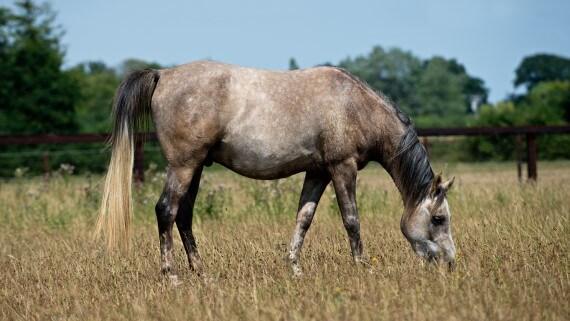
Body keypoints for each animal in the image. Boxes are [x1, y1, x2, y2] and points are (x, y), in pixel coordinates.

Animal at [95, 60, 454, 280]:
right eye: (439, 218)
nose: (450, 262)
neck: (356, 105)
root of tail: (163, 74)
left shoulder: (318, 172)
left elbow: (304, 218)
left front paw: (294, 267)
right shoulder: (342, 168)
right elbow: (351, 219)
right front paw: (362, 266)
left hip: (195, 168)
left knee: (183, 215)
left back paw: (202, 274)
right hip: (183, 166)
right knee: (166, 210)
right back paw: (172, 276)